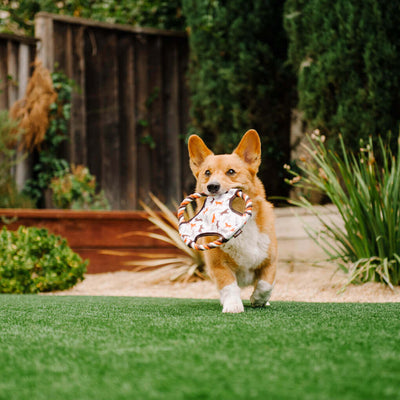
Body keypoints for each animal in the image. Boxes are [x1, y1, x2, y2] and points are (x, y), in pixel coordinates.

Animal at [188, 130, 278, 314]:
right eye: (207, 173)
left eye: (231, 171)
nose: (212, 186)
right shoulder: (218, 266)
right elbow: (229, 286)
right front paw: (233, 305)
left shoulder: (270, 261)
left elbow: (265, 285)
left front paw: (258, 299)